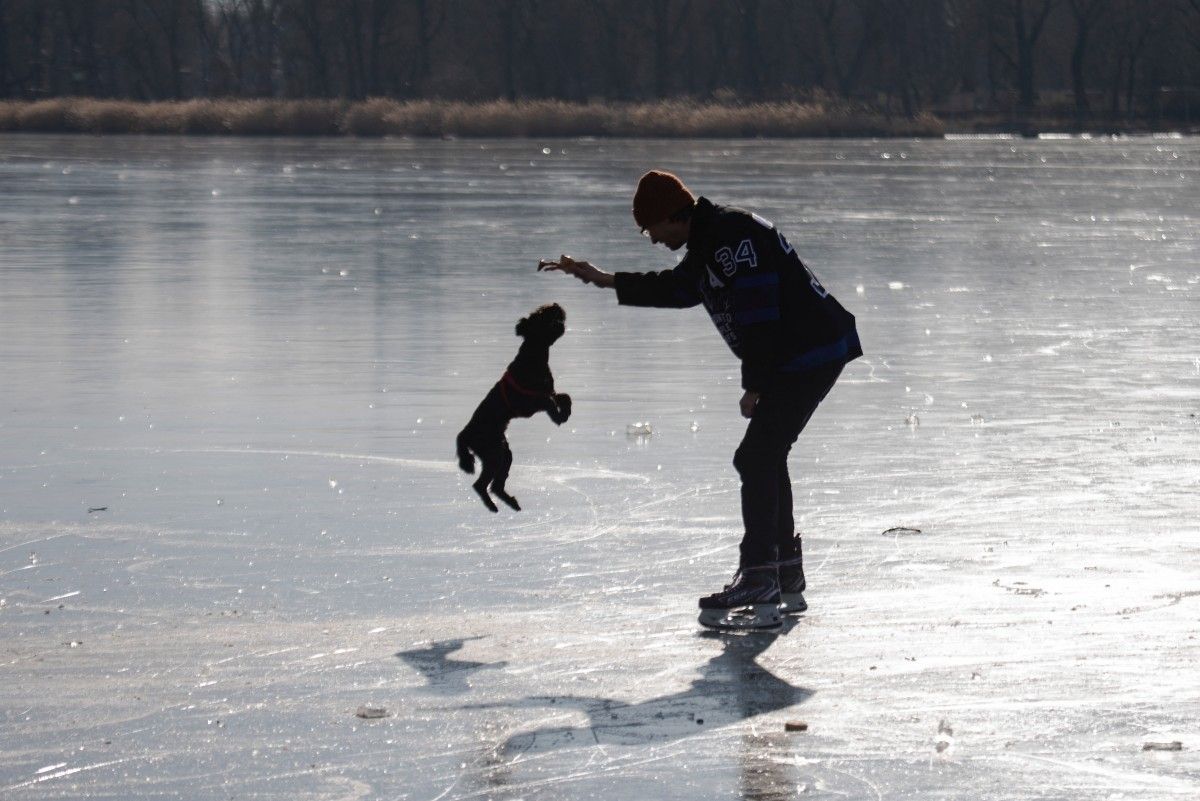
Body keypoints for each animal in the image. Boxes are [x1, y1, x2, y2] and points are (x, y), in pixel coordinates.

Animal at [456, 303, 571, 512]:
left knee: (495, 485)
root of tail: (464, 434)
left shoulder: (548, 391)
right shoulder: (529, 403)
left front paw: (565, 412)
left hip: (503, 453)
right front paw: (558, 417)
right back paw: (492, 505)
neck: (532, 357)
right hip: (492, 452)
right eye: (541, 316)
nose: (556, 306)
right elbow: (550, 402)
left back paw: (510, 502)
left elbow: (564, 397)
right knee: (480, 485)